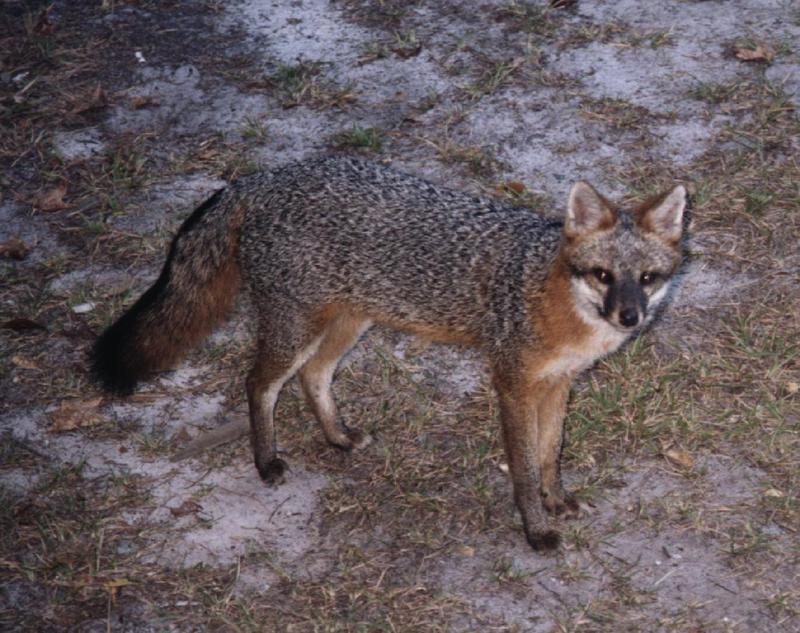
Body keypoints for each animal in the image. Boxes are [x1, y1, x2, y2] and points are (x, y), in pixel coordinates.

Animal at [90, 156, 684, 552]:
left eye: (647, 279)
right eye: (603, 275)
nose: (629, 318)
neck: (554, 295)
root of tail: (263, 176)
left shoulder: (559, 383)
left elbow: (549, 453)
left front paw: (556, 499)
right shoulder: (512, 384)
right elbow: (521, 466)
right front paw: (536, 528)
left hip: (348, 324)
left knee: (312, 377)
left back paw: (337, 437)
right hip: (297, 329)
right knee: (258, 382)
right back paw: (265, 461)